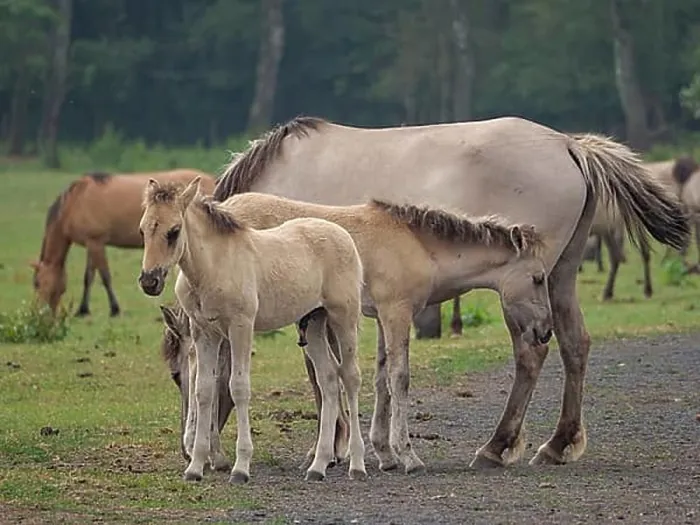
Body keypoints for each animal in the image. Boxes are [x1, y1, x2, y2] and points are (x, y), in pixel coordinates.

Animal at [30, 169, 216, 316]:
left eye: (38, 283)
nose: (42, 313)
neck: (76, 201)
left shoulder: (96, 242)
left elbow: (104, 277)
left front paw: (114, 309)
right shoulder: (92, 244)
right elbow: (89, 277)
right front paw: (83, 309)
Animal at [138, 177, 367, 484]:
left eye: (174, 231)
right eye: (143, 229)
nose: (149, 281)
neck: (214, 266)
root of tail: (340, 233)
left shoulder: (241, 326)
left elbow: (238, 387)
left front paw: (240, 467)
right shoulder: (204, 333)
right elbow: (204, 390)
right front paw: (195, 467)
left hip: (344, 318)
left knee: (350, 378)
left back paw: (357, 464)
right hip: (314, 323)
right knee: (329, 379)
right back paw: (318, 466)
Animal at [158, 190, 553, 474]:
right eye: (538, 278)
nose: (545, 330)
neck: (415, 243)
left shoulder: (380, 316)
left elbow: (380, 378)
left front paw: (383, 453)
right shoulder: (396, 312)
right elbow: (399, 378)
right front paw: (407, 456)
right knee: (207, 371)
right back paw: (210, 455)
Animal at [212, 115, 689, 474]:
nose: (205, 454)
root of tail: (570, 145)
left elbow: (324, 374)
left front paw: (332, 449)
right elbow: (377, 371)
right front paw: (376, 448)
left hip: (524, 294)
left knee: (532, 353)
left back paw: (498, 446)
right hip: (561, 276)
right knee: (575, 344)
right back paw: (557, 443)